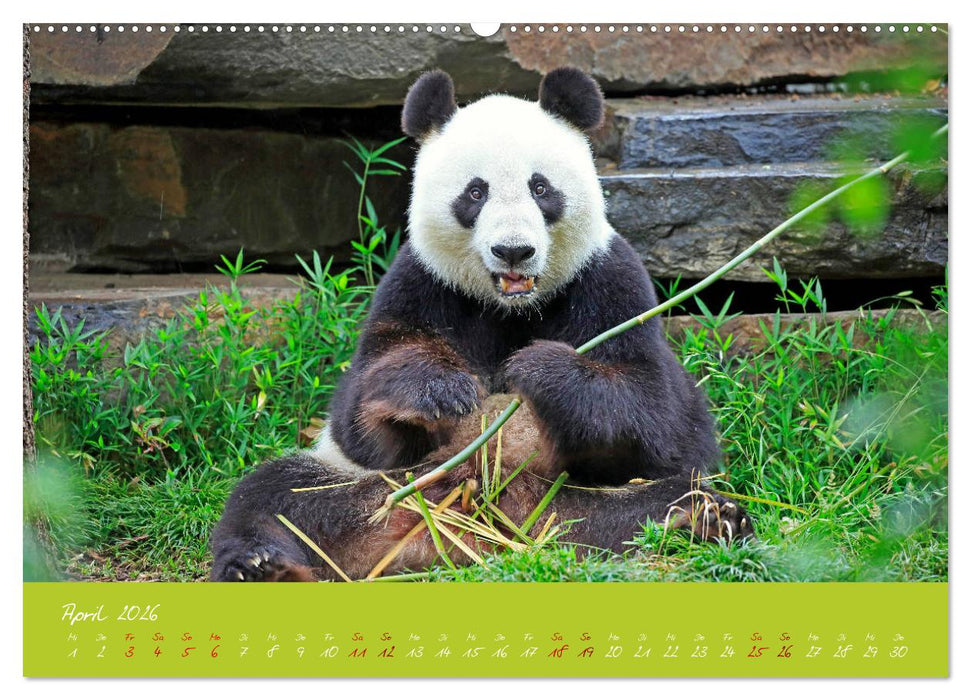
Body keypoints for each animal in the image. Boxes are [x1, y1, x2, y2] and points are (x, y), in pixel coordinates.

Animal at [210, 68, 752, 582]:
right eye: (475, 192)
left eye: (540, 187)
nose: (513, 250)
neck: (512, 307)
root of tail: (485, 523)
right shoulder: (419, 283)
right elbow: (361, 412)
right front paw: (441, 389)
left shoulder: (610, 282)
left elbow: (658, 416)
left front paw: (536, 370)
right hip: (373, 488)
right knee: (276, 497)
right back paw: (260, 567)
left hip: (578, 503)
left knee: (660, 497)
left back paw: (702, 520)